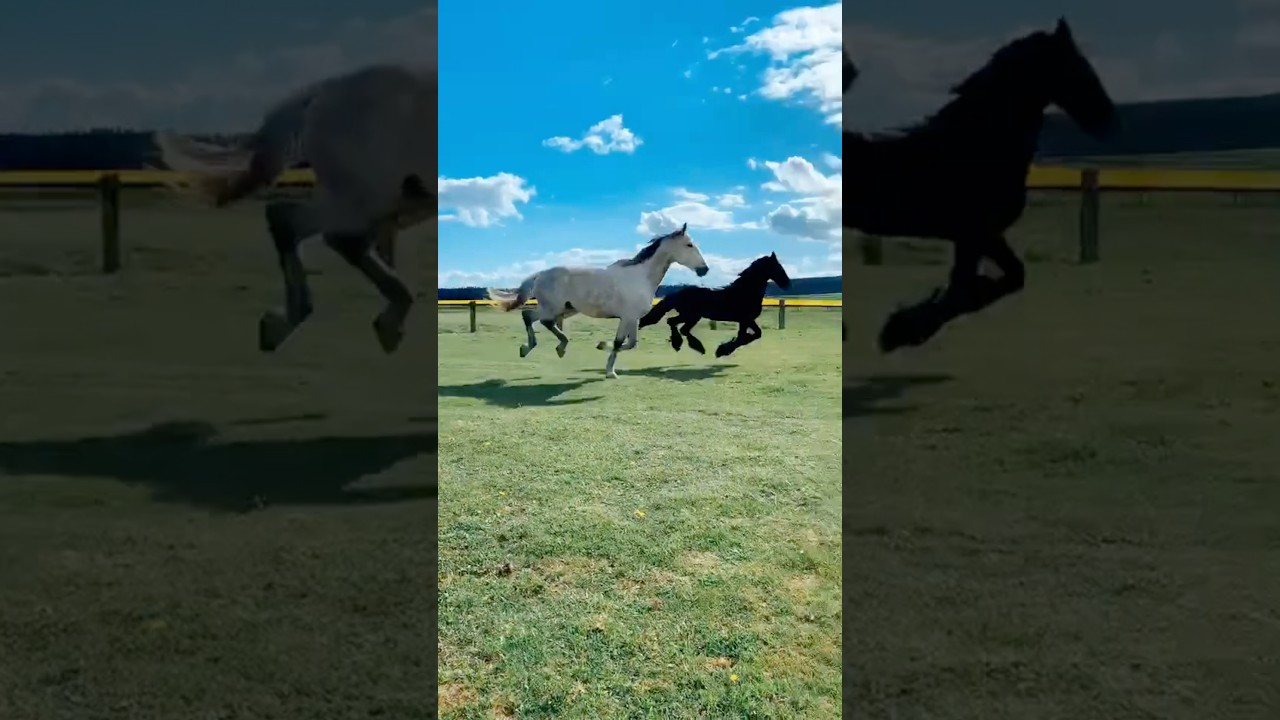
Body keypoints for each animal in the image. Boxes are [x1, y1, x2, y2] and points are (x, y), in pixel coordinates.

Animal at [486, 223, 710, 378]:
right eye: (689, 244)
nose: (704, 269)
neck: (640, 277)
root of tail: (539, 274)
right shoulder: (628, 318)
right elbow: (622, 343)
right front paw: (609, 367)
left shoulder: (632, 319)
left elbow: (629, 343)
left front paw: (604, 354)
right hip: (552, 308)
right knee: (532, 317)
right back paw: (536, 347)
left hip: (564, 309)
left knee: (539, 320)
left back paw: (554, 348)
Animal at [639, 252, 792, 358]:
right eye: (777, 267)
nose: (787, 283)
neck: (744, 292)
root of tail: (676, 294)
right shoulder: (745, 319)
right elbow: (745, 337)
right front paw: (722, 351)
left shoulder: (747, 320)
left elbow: (753, 334)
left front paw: (724, 349)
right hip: (691, 315)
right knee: (673, 323)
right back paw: (686, 345)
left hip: (692, 316)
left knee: (680, 327)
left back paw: (695, 347)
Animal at [844, 18, 1116, 352]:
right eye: (1079, 66)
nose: (1107, 117)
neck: (977, 146)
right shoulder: (974, 234)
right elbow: (963, 292)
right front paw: (902, 330)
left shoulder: (984, 236)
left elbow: (1011, 277)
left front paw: (904, 326)